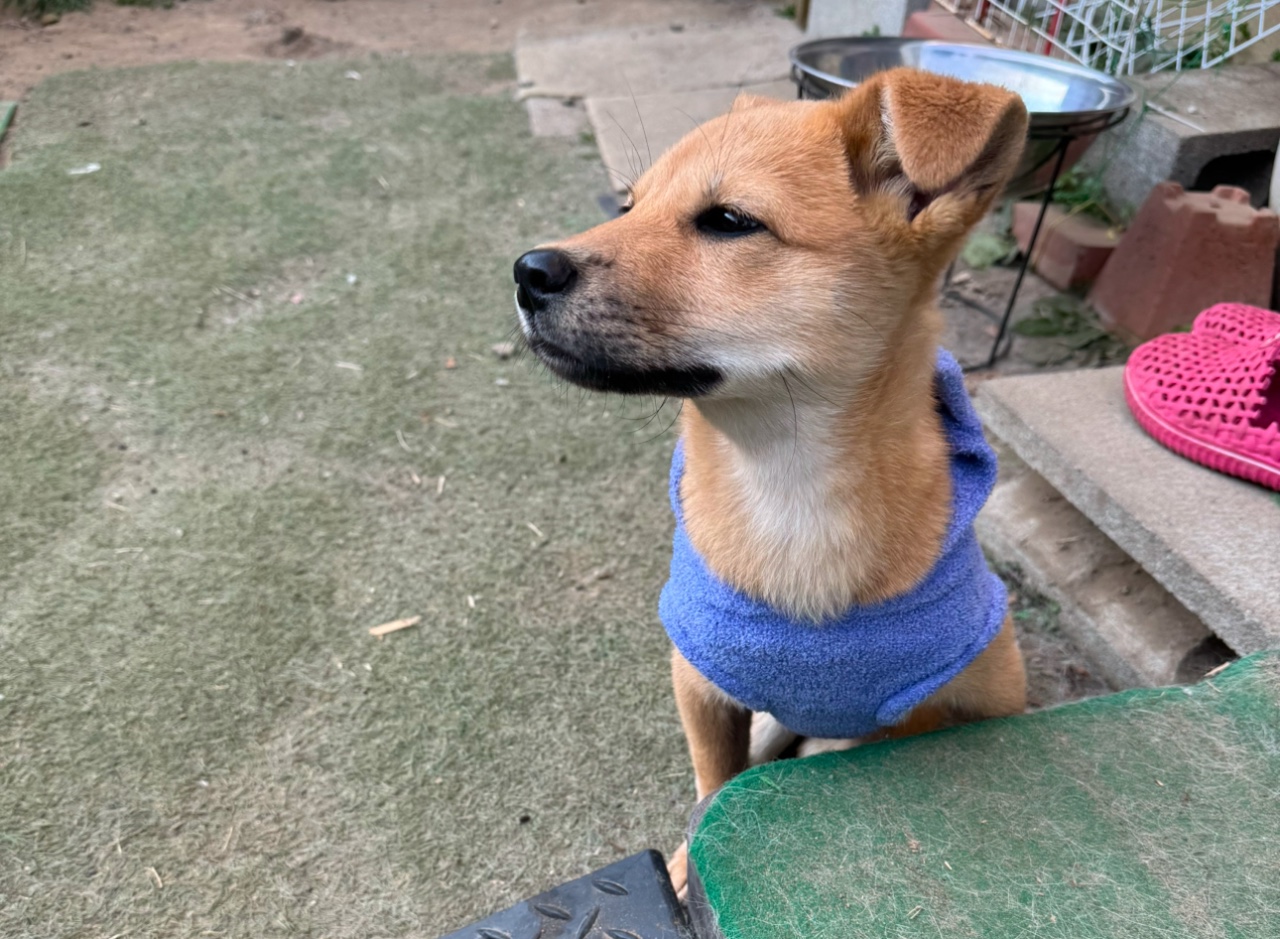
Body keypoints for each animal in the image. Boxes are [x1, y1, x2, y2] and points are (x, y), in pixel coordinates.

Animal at [513, 68, 1030, 892]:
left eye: (729, 221)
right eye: (629, 204)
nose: (528, 270)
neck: (787, 491)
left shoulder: (939, 702)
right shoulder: (699, 679)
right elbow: (714, 786)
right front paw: (689, 859)